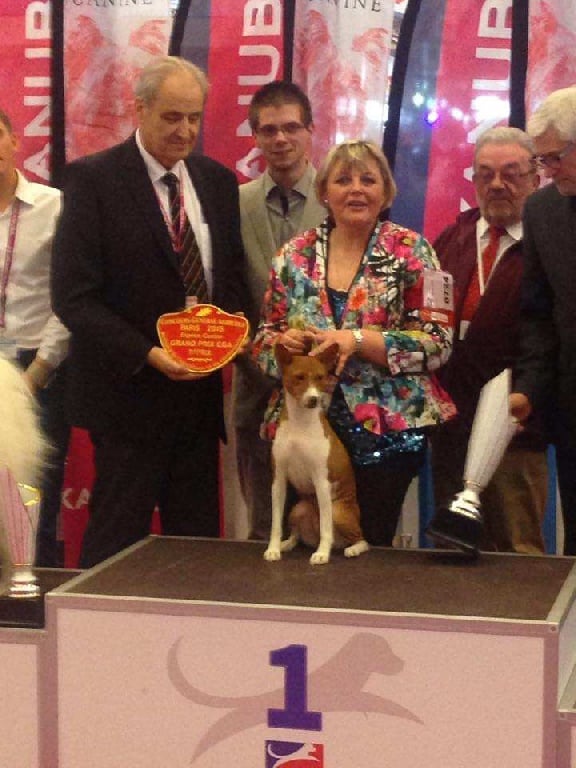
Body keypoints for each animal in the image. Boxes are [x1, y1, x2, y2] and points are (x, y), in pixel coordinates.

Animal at [264, 342, 368, 564]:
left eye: (320, 377)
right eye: (299, 377)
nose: (313, 400)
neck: (300, 424)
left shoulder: (321, 480)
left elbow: (325, 528)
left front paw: (322, 553)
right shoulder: (278, 479)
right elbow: (275, 524)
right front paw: (273, 549)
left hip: (338, 511)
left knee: (360, 538)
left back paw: (352, 549)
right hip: (298, 509)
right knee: (297, 535)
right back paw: (286, 544)